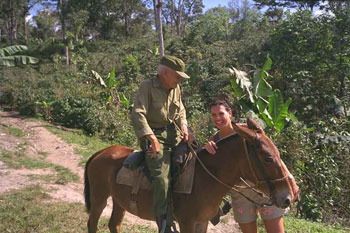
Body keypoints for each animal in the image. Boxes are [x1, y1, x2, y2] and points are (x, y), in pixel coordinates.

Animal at [85, 118, 296, 233]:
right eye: (268, 158)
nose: (288, 197)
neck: (205, 179)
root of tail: (101, 153)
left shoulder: (202, 222)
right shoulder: (187, 223)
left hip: (119, 202)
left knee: (114, 224)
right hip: (99, 198)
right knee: (92, 223)